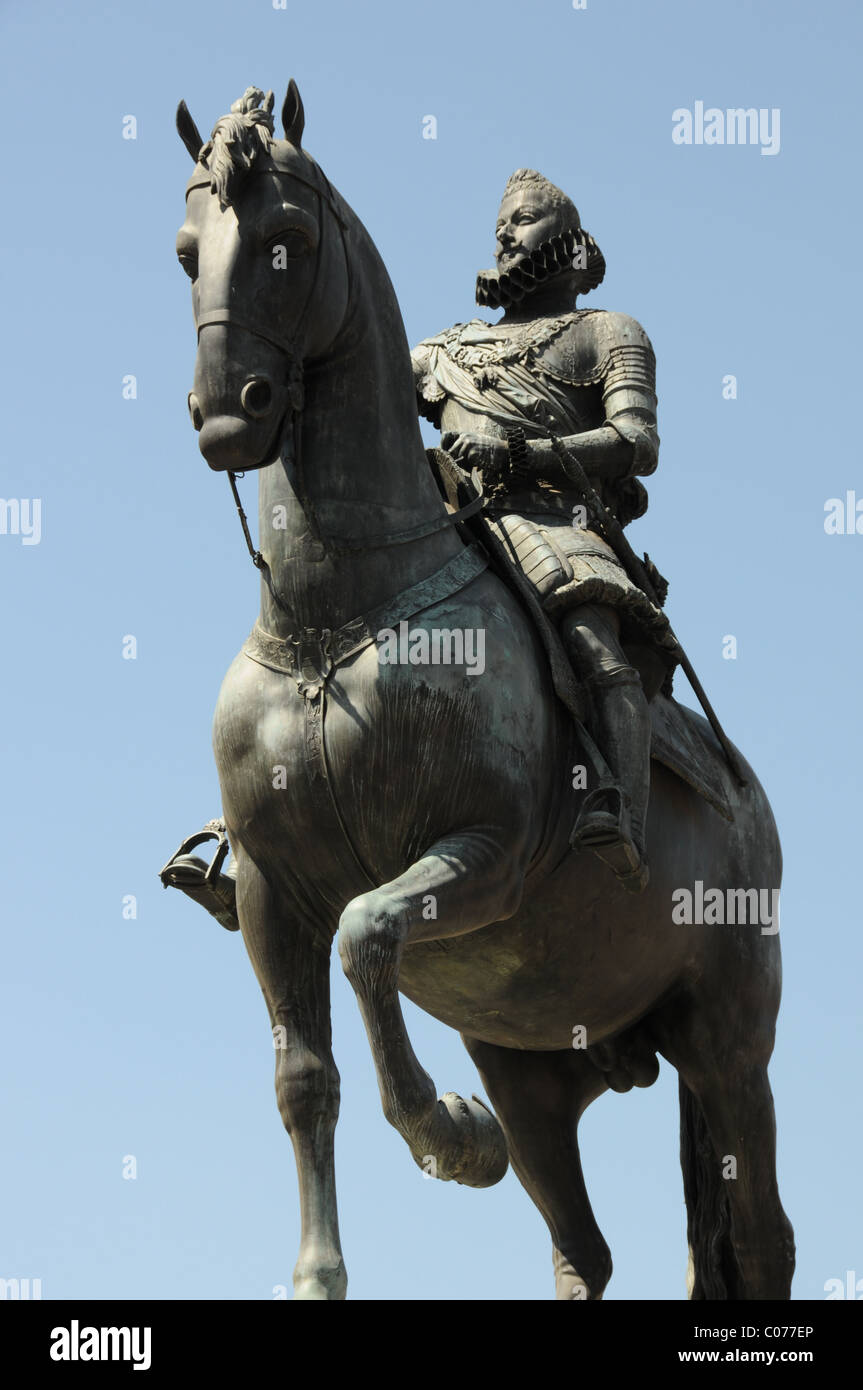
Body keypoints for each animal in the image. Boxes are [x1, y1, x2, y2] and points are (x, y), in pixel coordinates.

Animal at [173, 84, 794, 1301]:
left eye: (287, 239)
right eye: (187, 251)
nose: (229, 411)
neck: (332, 622)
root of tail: (748, 805)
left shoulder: (487, 854)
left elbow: (368, 934)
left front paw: (449, 1136)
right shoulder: (269, 890)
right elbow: (303, 1078)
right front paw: (318, 1274)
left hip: (726, 1042)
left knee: (759, 1238)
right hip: (533, 1060)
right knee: (579, 1247)